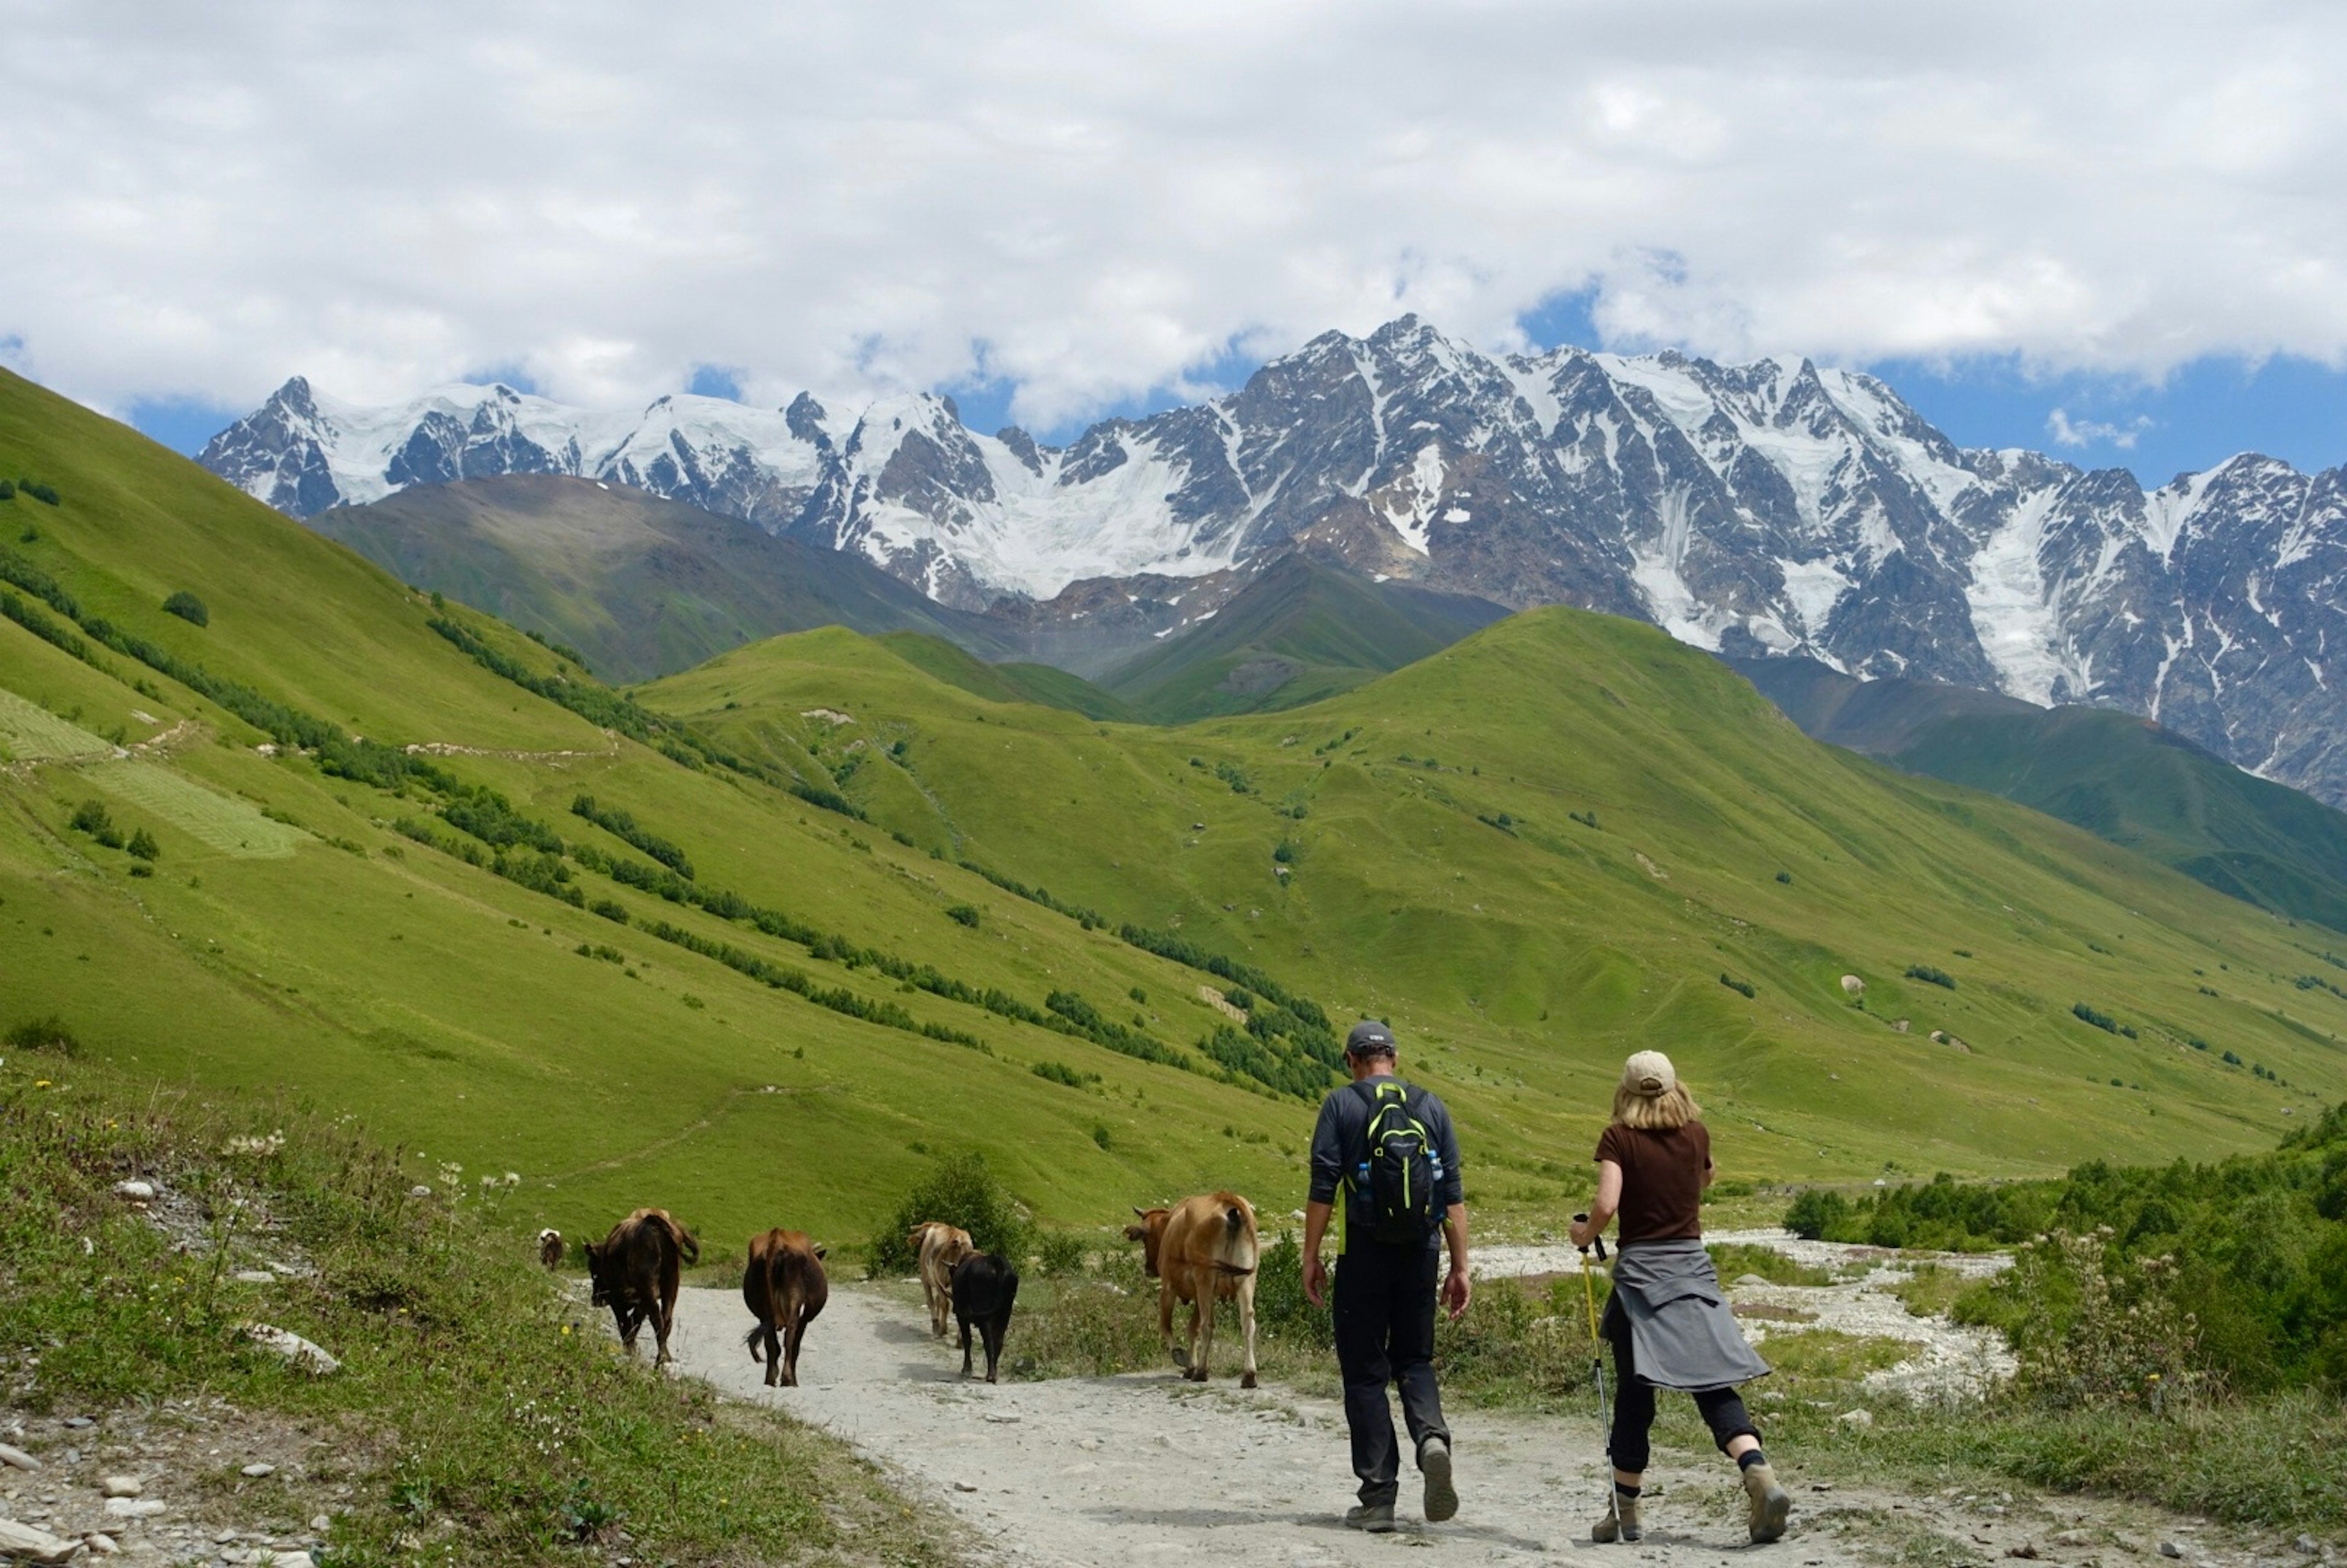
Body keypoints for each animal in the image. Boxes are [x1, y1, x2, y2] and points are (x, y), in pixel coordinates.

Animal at [584, 1211, 694, 1361]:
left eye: (593, 1271)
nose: (595, 1300)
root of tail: (652, 1222)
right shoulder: (640, 1303)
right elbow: (633, 1323)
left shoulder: (616, 1300)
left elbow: (624, 1323)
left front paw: (629, 1349)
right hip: (671, 1283)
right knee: (666, 1319)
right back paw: (663, 1357)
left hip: (647, 1287)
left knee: (656, 1318)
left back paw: (662, 1357)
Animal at [751, 1220, 836, 1380]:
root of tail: (778, 1239)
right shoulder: (806, 1316)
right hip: (796, 1304)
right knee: (790, 1337)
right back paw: (788, 1378)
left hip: (765, 1310)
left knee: (772, 1344)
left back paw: (771, 1378)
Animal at [901, 1220, 967, 1343]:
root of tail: (954, 1233)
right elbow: (937, 1300)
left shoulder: (925, 1280)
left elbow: (931, 1301)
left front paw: (935, 1326)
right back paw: (960, 1340)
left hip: (938, 1278)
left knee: (945, 1303)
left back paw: (942, 1330)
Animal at [953, 1248, 1018, 1380]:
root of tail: (995, 1260)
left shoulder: (961, 1316)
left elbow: (967, 1339)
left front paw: (966, 1369)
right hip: (1006, 1312)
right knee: (998, 1341)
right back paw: (994, 1373)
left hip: (984, 1315)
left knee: (988, 1341)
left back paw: (991, 1375)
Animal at [1122, 1187, 1258, 1380]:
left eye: (1145, 1239)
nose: (1149, 1269)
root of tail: (1226, 1199)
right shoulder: (1200, 1295)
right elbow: (1192, 1329)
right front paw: (1190, 1367)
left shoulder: (1169, 1288)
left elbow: (1166, 1325)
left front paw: (1181, 1357)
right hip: (1246, 1280)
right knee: (1247, 1322)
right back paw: (1249, 1374)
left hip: (1205, 1278)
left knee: (1208, 1325)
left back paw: (1201, 1372)